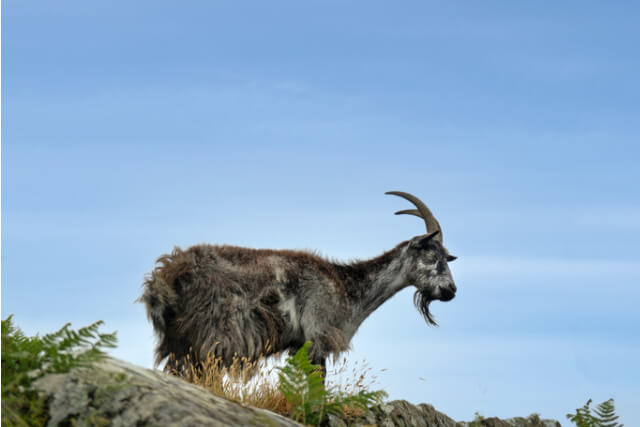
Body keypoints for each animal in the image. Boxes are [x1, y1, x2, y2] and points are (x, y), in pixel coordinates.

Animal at [138, 191, 458, 374]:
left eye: (447, 257)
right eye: (430, 255)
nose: (451, 290)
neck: (346, 287)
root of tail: (165, 276)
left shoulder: (301, 344)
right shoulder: (317, 336)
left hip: (181, 340)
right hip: (206, 336)